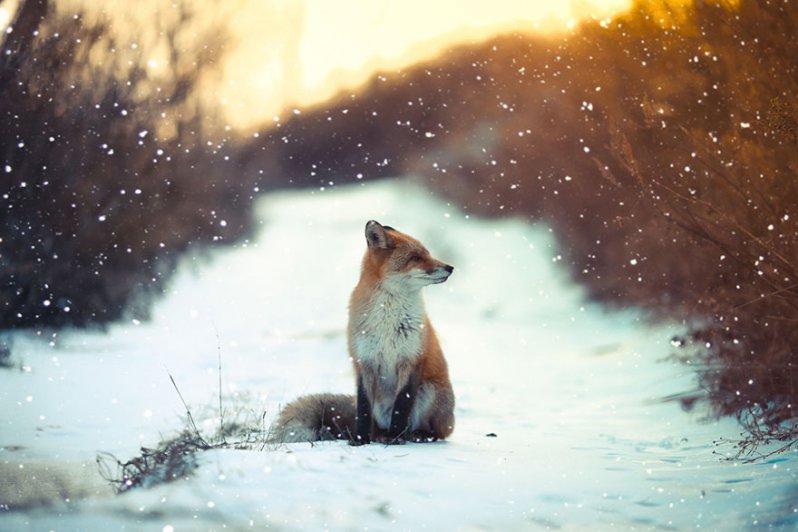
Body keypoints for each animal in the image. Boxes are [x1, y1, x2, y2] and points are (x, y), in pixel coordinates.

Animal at [270, 220, 454, 444]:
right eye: (416, 257)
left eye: (428, 254)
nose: (450, 267)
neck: (388, 319)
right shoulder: (364, 361)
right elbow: (364, 410)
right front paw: (360, 441)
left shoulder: (411, 359)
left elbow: (401, 407)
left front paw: (395, 438)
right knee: (373, 423)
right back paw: (379, 435)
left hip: (429, 392)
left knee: (439, 432)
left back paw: (415, 434)